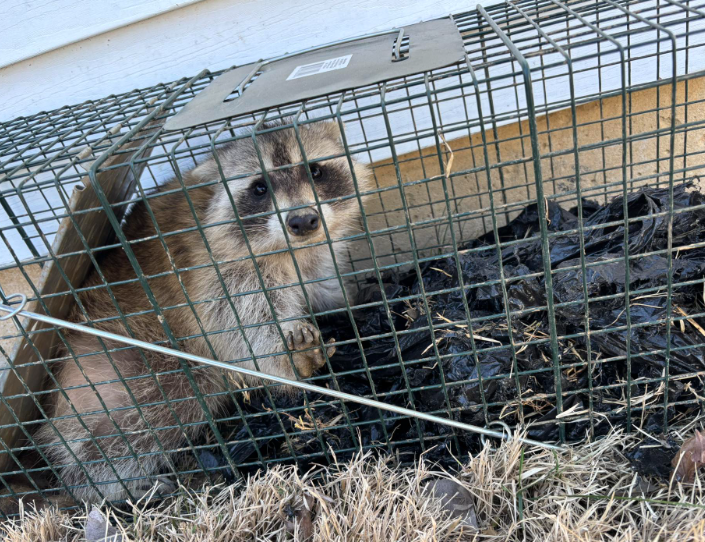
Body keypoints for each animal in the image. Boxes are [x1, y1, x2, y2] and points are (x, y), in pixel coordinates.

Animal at [29, 119, 371, 505]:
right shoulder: (214, 270)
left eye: (315, 170)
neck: (292, 250)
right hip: (129, 359)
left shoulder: (317, 258)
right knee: (145, 416)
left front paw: (347, 303)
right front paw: (288, 353)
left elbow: (325, 288)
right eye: (259, 188)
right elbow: (240, 325)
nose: (302, 220)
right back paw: (105, 480)